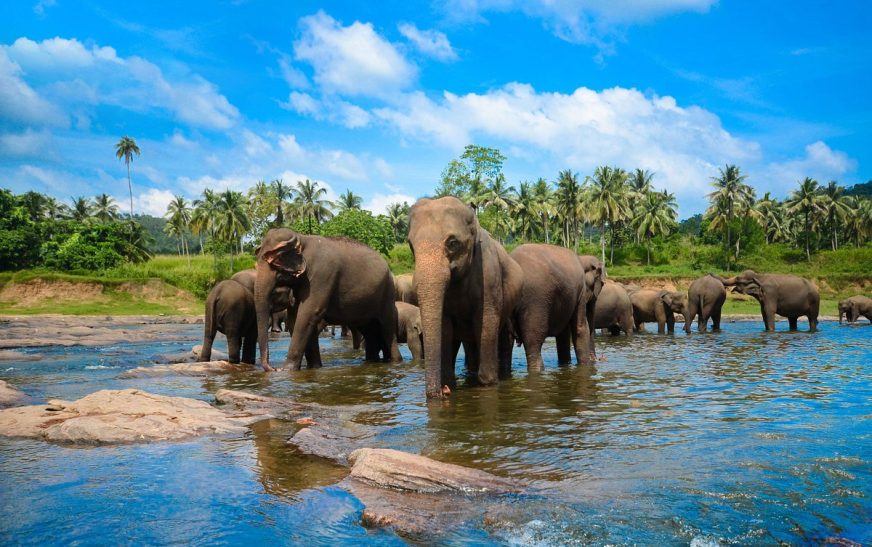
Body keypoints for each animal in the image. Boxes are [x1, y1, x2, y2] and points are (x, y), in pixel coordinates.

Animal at [252, 227, 402, 372]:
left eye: (275, 261)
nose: (273, 368)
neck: (302, 239)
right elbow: (296, 317)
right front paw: (314, 367)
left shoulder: (322, 274)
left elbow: (308, 313)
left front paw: (287, 369)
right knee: (370, 331)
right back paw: (372, 361)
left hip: (387, 294)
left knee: (387, 328)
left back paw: (395, 361)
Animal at [406, 196, 520, 398]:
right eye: (411, 245)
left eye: (452, 243)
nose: (443, 391)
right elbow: (445, 327)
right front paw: (450, 383)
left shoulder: (489, 275)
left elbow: (486, 321)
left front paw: (488, 384)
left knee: (503, 336)